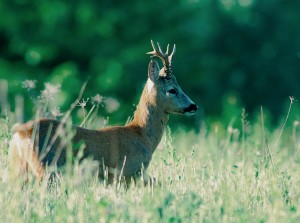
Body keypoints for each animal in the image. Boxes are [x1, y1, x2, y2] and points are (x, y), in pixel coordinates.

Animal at [8, 40, 197, 185]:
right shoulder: (127, 172)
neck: (142, 135)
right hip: (46, 168)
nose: (193, 106)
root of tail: (19, 134)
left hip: (19, 169)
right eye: (172, 90)